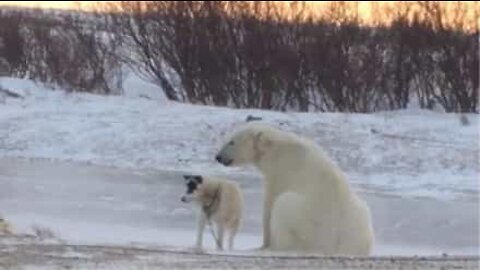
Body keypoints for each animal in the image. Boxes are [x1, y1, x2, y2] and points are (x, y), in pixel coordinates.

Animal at [215, 122, 376, 255]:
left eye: (231, 142)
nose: (218, 157)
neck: (275, 148)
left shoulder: (281, 171)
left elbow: (269, 205)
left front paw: (263, 245)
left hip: (306, 219)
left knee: (283, 205)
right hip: (361, 216)